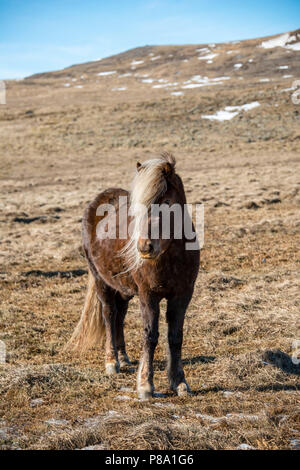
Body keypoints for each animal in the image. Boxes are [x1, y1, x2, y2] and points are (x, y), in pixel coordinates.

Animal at [67, 152, 200, 398]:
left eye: (167, 203)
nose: (144, 247)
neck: (170, 256)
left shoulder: (183, 295)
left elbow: (175, 336)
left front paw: (179, 382)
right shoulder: (148, 296)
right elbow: (150, 335)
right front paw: (146, 385)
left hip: (123, 288)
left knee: (120, 316)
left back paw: (124, 356)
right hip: (102, 282)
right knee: (109, 315)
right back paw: (112, 362)